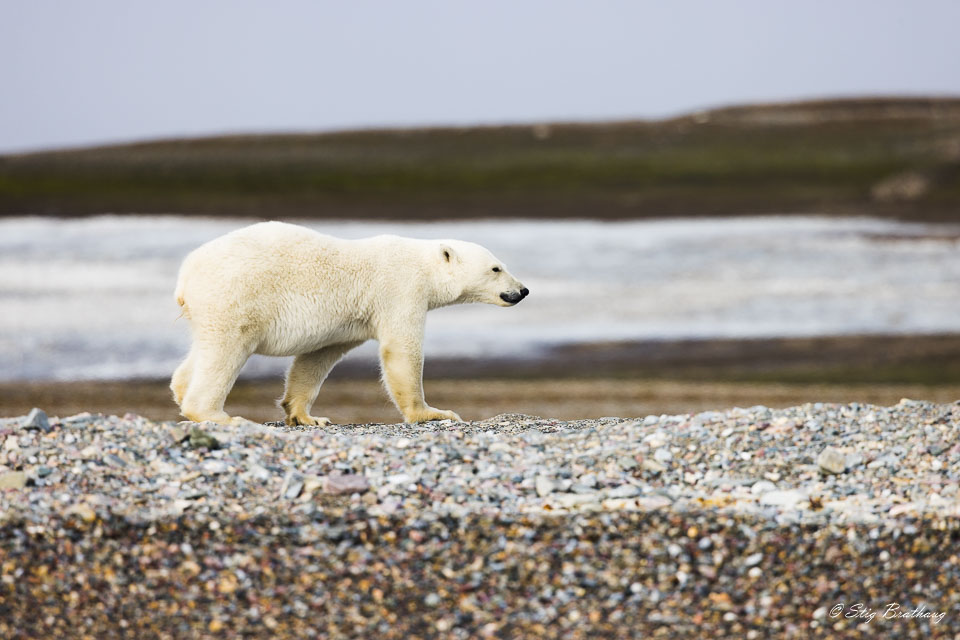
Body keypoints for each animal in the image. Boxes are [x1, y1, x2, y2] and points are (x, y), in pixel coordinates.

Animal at [173, 220, 532, 424]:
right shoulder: (399, 291)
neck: (422, 264)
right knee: (226, 351)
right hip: (236, 297)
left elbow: (318, 358)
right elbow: (402, 351)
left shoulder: (352, 317)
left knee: (202, 350)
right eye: (496, 268)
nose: (522, 290)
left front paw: (306, 416)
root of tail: (186, 273)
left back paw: (180, 390)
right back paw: (218, 416)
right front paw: (432, 413)